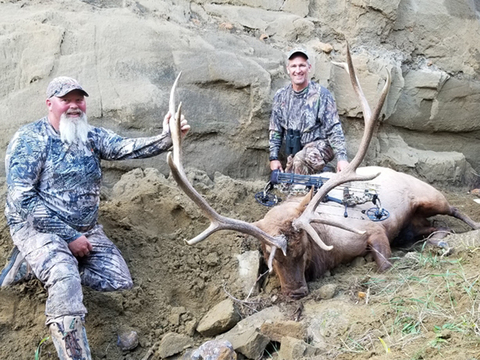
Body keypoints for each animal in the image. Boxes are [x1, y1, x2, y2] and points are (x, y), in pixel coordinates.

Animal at [166, 47, 480, 300]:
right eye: (268, 256)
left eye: (303, 248)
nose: (296, 293)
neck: (324, 253)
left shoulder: (372, 230)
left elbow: (384, 264)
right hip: (413, 225)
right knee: (435, 226)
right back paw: (440, 239)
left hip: (430, 196)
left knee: (453, 210)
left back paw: (469, 228)